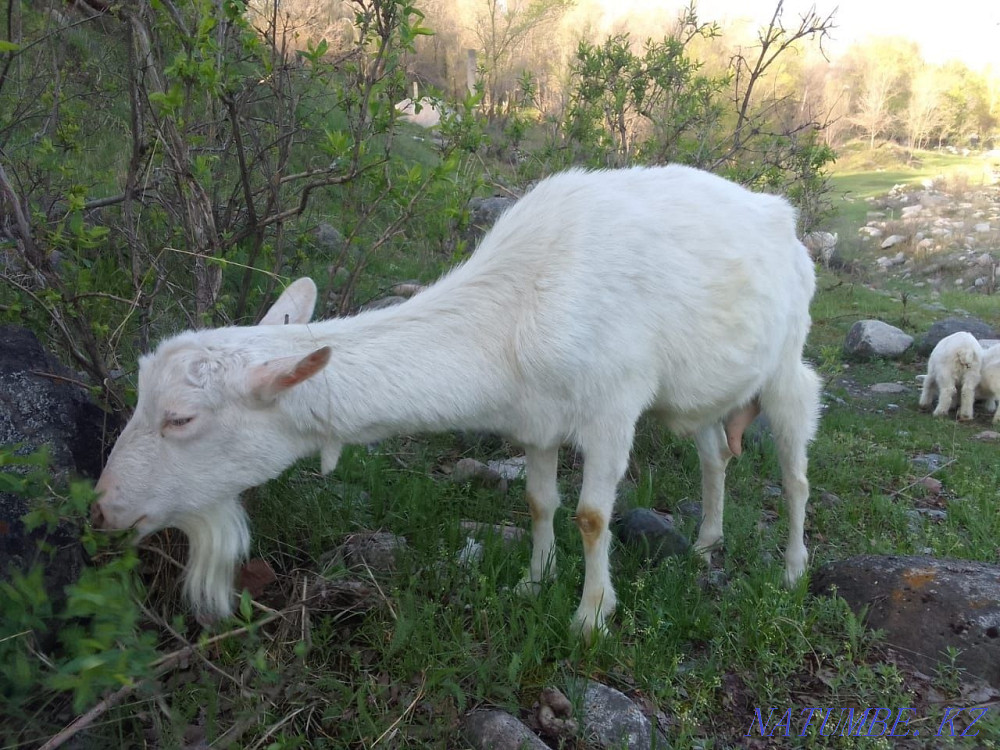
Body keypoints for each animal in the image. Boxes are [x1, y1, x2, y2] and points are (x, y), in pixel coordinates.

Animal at [92, 165, 821, 637]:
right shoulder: (538, 419)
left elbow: (591, 516)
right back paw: (706, 542)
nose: (102, 509)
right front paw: (533, 581)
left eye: (181, 418)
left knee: (795, 470)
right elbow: (538, 501)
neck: (513, 312)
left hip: (788, 363)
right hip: (705, 391)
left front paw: (590, 616)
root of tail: (785, 220)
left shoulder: (613, 406)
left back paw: (792, 569)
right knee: (713, 455)